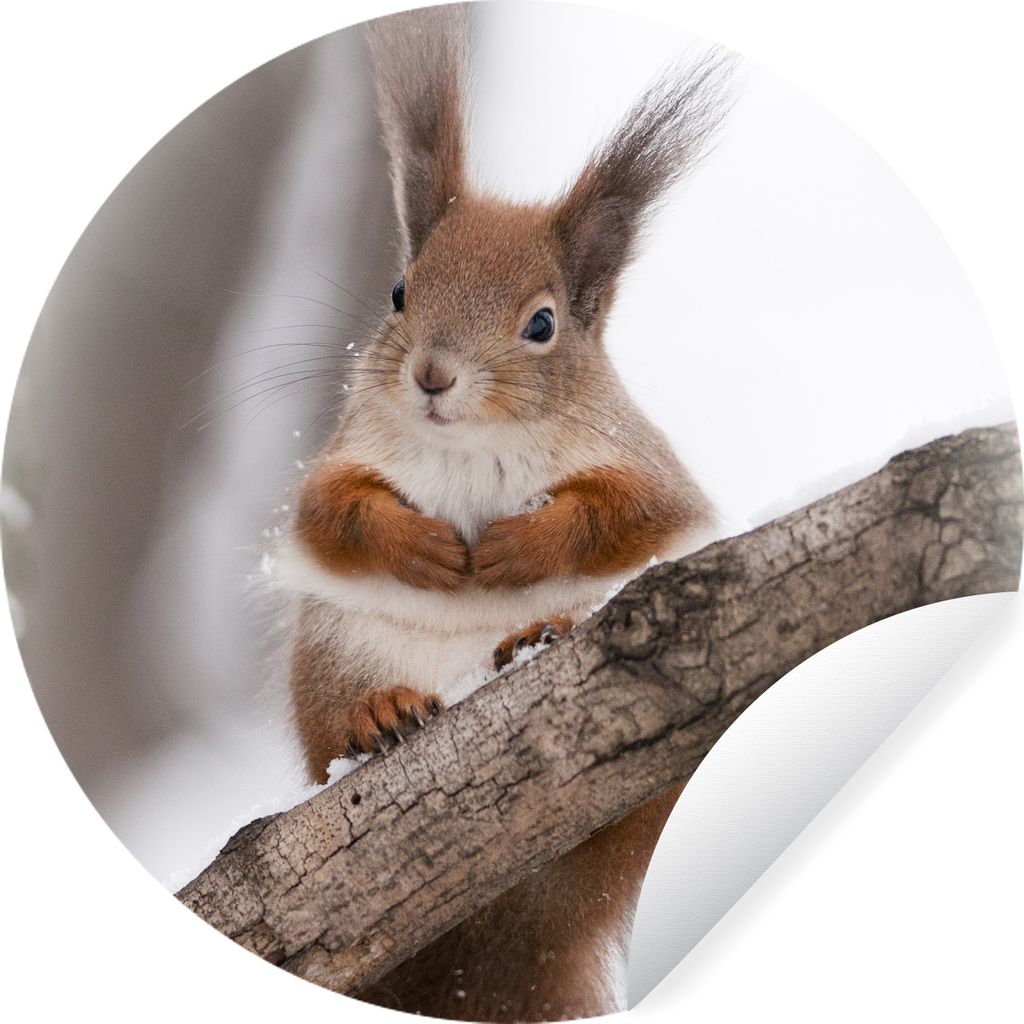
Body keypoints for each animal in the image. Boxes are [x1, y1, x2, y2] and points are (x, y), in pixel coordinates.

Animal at [275, 6, 731, 1020]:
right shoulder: (343, 458)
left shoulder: (648, 475)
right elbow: (335, 515)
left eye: (542, 324)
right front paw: (426, 549)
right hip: (336, 652)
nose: (432, 376)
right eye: (401, 291)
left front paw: (517, 549)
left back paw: (539, 637)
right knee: (334, 731)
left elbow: (622, 516)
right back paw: (379, 716)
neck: (470, 443)